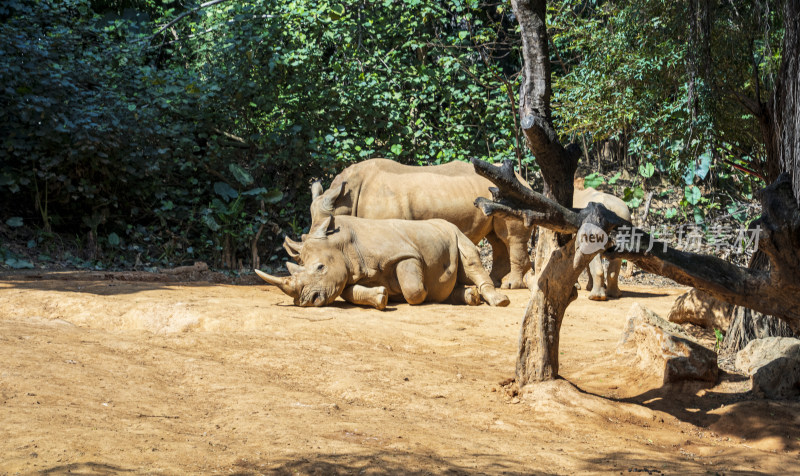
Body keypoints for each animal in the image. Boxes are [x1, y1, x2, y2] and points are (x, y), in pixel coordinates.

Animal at [256, 215, 510, 310]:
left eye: (320, 267)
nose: (305, 301)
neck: (340, 243)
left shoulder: (406, 254)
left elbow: (414, 290)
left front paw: (403, 294)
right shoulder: (349, 273)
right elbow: (348, 291)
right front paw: (382, 296)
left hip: (456, 232)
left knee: (471, 259)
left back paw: (500, 301)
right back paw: (470, 297)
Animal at [300, 158, 536, 288]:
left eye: (329, 232)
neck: (344, 199)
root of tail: (523, 179)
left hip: (512, 197)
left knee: (509, 238)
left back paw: (510, 285)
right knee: (496, 239)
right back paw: (498, 282)